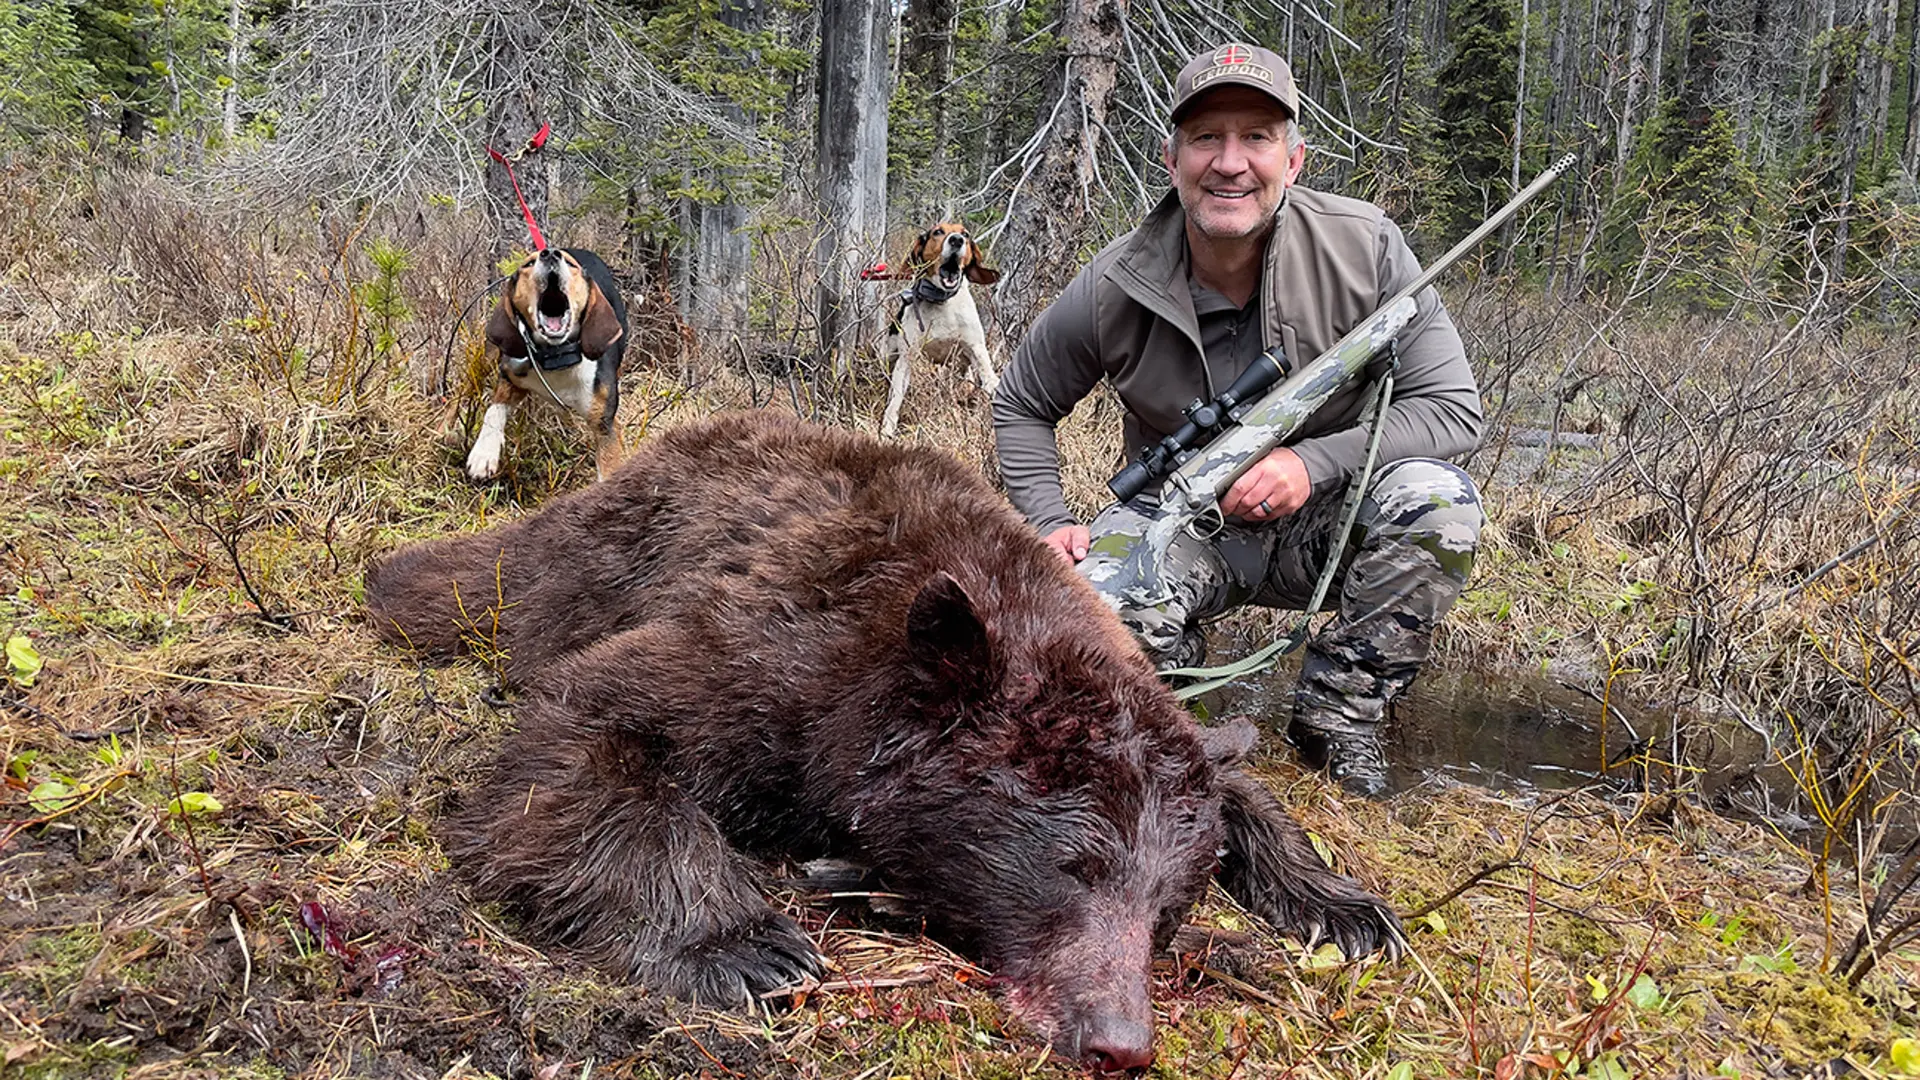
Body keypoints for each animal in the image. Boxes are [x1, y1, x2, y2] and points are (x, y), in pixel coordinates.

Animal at [366, 409, 1405, 1068]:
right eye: (1073, 867)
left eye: (1166, 910)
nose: (1117, 1041)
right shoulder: (772, 667)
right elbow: (585, 724)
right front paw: (750, 946)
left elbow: (1240, 779)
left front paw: (1350, 909)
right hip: (580, 564)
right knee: (473, 590)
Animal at [458, 245, 625, 480]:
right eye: (528, 263)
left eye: (571, 264)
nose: (551, 254)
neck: (556, 357)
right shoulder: (510, 376)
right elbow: (494, 410)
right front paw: (484, 453)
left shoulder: (605, 425)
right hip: (487, 357)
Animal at [879, 220, 1006, 434]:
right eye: (938, 232)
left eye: (966, 234)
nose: (957, 240)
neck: (942, 301)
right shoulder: (906, 359)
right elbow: (895, 399)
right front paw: (886, 431)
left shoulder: (976, 349)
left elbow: (989, 379)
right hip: (887, 354)